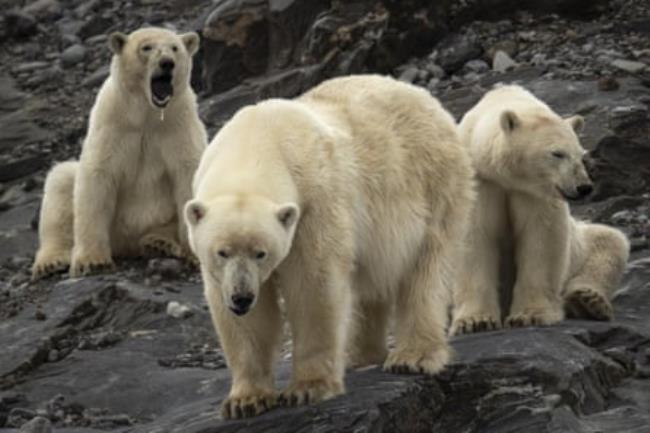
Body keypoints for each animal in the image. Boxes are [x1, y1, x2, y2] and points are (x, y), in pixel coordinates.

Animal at [31, 27, 206, 276]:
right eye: (146, 47)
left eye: (175, 48)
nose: (167, 63)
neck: (147, 114)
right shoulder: (113, 124)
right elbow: (98, 177)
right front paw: (92, 261)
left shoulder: (178, 124)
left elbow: (188, 174)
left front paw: (194, 256)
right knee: (60, 184)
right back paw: (51, 261)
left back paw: (159, 243)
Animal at [185, 75, 474, 418]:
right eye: (222, 252)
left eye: (261, 253)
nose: (241, 298)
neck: (258, 141)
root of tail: (428, 99)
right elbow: (243, 319)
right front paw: (245, 400)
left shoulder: (315, 202)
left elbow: (313, 285)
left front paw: (308, 388)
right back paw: (360, 356)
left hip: (433, 184)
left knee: (426, 269)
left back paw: (413, 356)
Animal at [450, 84, 628, 334]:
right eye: (557, 153)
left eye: (581, 155)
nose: (583, 187)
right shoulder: (481, 182)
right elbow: (474, 237)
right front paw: (475, 321)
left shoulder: (537, 194)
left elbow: (540, 238)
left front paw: (530, 315)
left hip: (580, 248)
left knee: (609, 243)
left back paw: (588, 301)